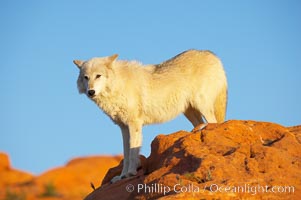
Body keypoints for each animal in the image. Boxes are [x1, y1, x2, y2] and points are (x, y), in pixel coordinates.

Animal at [74, 49, 226, 183]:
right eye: (86, 77)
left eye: (98, 76)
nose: (91, 92)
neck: (118, 85)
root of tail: (212, 55)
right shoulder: (123, 127)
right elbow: (126, 154)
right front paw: (122, 176)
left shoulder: (134, 124)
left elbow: (133, 151)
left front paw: (130, 173)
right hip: (189, 111)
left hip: (201, 105)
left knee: (214, 122)